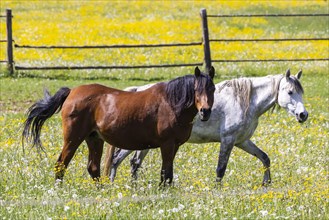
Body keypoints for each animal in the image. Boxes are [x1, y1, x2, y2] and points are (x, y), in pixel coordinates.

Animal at [21, 66, 214, 184]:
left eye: (212, 89)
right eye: (196, 90)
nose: (205, 111)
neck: (171, 103)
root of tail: (72, 92)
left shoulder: (175, 146)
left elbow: (168, 173)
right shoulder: (167, 145)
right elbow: (166, 172)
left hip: (94, 139)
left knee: (93, 168)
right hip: (72, 139)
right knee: (61, 164)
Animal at [103, 69, 308, 186]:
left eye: (301, 92)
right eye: (290, 92)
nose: (303, 115)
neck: (244, 101)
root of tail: (136, 92)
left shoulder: (242, 141)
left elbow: (265, 158)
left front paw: (266, 183)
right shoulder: (228, 140)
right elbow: (220, 169)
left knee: (131, 163)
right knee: (119, 160)